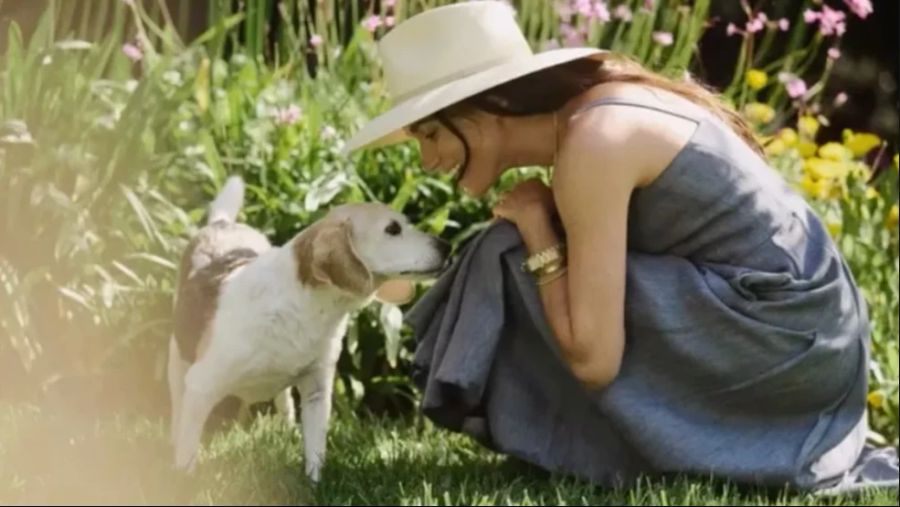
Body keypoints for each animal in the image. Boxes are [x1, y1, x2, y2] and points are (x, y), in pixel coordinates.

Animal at [167, 177, 448, 482]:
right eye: (393, 229)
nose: (447, 245)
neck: (305, 307)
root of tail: (222, 224)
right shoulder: (201, 385)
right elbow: (187, 449)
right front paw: (183, 480)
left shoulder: (317, 388)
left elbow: (315, 449)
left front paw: (314, 483)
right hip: (178, 364)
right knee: (178, 408)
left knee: (285, 404)